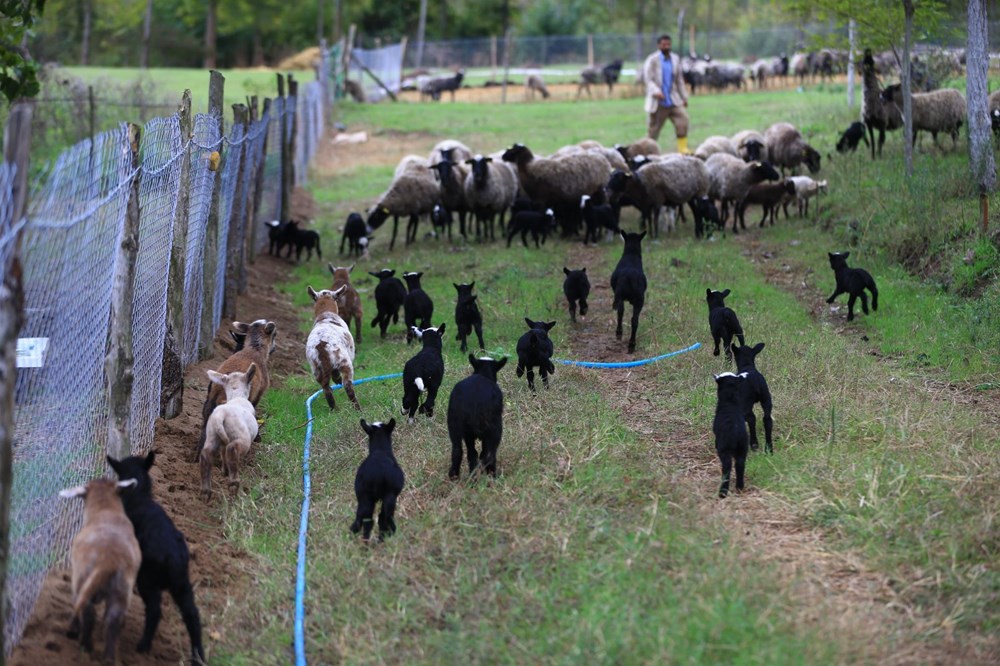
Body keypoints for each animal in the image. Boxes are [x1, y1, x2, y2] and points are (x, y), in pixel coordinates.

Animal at [106, 448, 202, 660]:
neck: (138, 497)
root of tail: (173, 557)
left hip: (147, 579)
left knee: (155, 609)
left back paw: (143, 646)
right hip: (182, 583)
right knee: (192, 614)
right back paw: (198, 657)